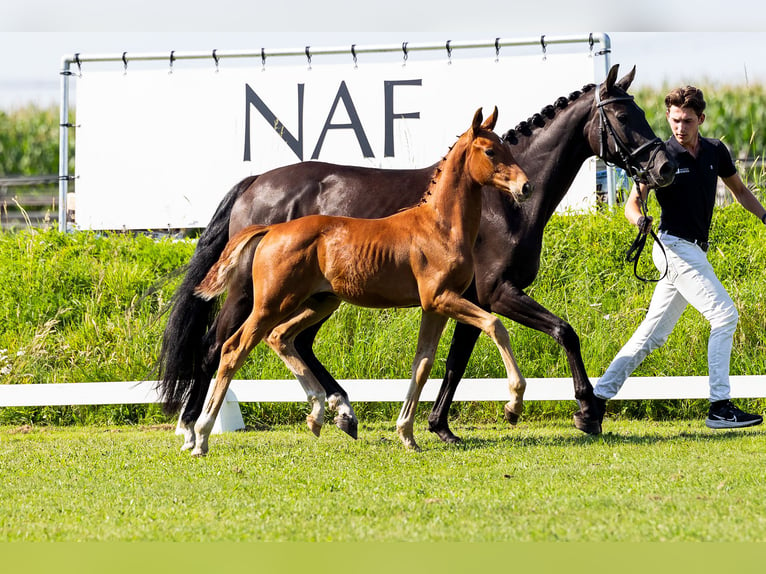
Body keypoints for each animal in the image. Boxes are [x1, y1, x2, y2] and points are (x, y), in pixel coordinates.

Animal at [189, 108, 532, 456]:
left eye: (507, 148)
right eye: (490, 151)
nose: (526, 187)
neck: (440, 226)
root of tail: (272, 230)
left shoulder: (434, 307)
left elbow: (422, 364)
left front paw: (407, 434)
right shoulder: (441, 298)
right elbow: (495, 325)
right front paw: (513, 405)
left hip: (319, 302)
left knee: (280, 337)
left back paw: (319, 413)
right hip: (271, 304)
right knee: (233, 348)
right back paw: (200, 436)